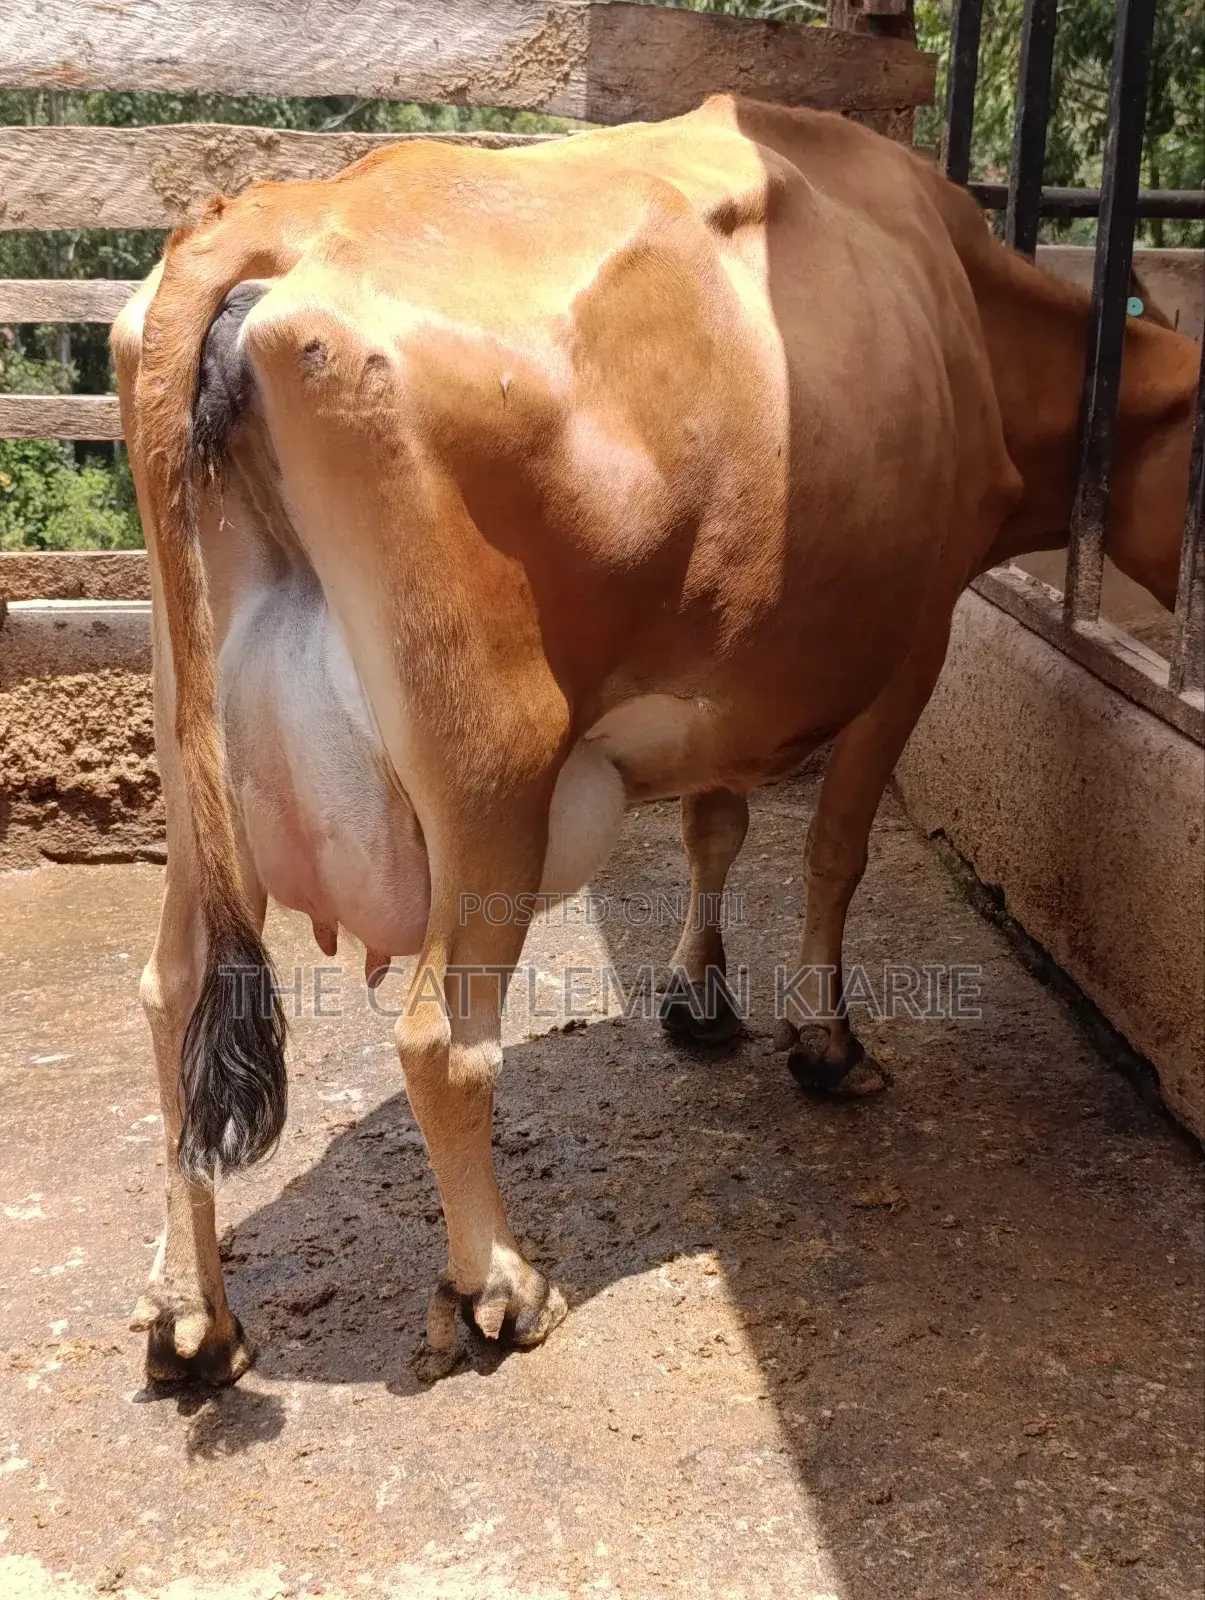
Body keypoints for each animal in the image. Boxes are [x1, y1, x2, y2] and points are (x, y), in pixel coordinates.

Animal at [110, 95, 1200, 1383]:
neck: (965, 310)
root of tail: (279, 214)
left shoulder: (730, 666)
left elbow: (712, 824)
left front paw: (699, 994)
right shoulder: (915, 637)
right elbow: (834, 851)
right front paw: (826, 1041)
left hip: (196, 765)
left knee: (174, 997)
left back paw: (195, 1315)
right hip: (492, 766)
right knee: (441, 1037)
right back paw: (496, 1286)